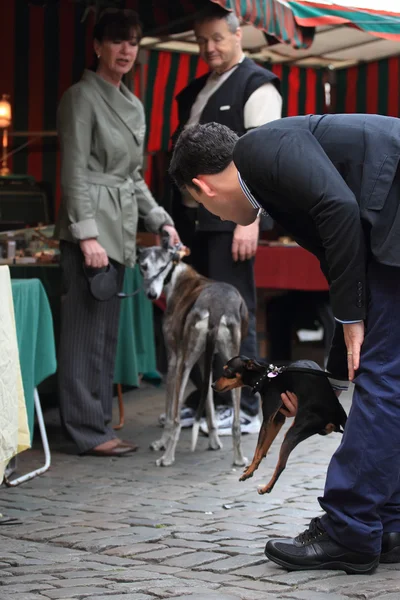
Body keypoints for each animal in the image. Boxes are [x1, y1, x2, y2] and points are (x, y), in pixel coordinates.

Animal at [212, 358, 346, 494]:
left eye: (227, 371)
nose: (212, 385)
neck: (265, 377)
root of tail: (336, 415)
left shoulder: (267, 419)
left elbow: (258, 449)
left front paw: (249, 472)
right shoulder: (277, 419)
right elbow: (264, 447)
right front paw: (252, 468)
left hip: (292, 433)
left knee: (281, 465)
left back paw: (267, 488)